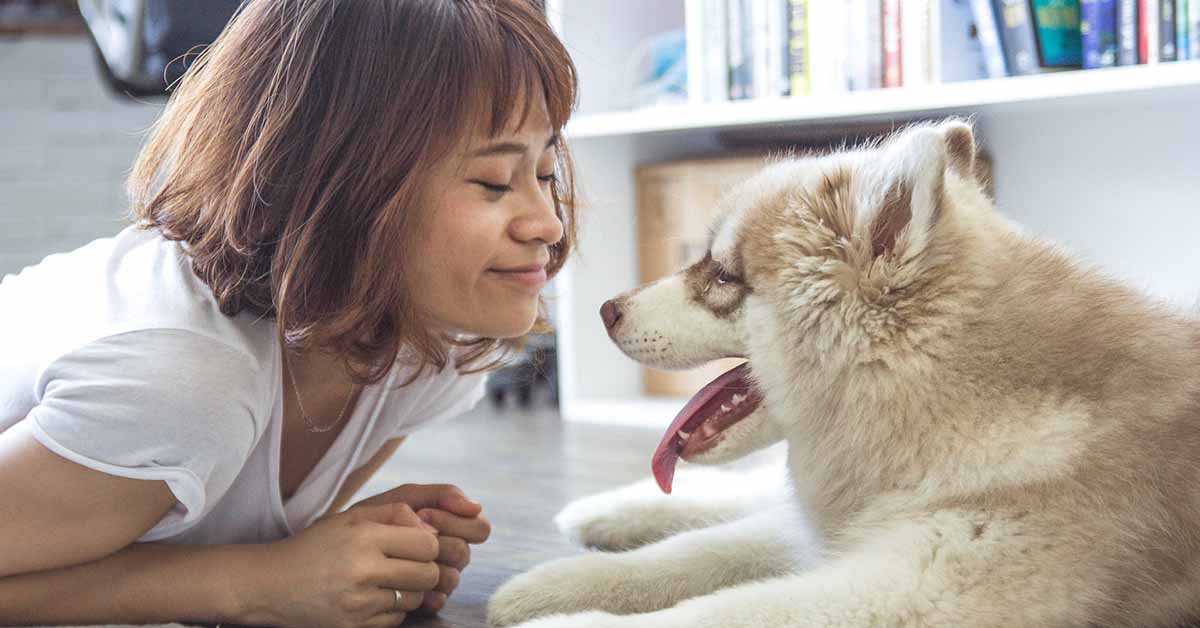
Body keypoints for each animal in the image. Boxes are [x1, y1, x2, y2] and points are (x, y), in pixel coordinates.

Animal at [484, 120, 1200, 628]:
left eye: (722, 276)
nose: (605, 310)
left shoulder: (917, 587)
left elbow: (721, 607)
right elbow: (692, 555)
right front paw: (549, 586)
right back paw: (603, 511)